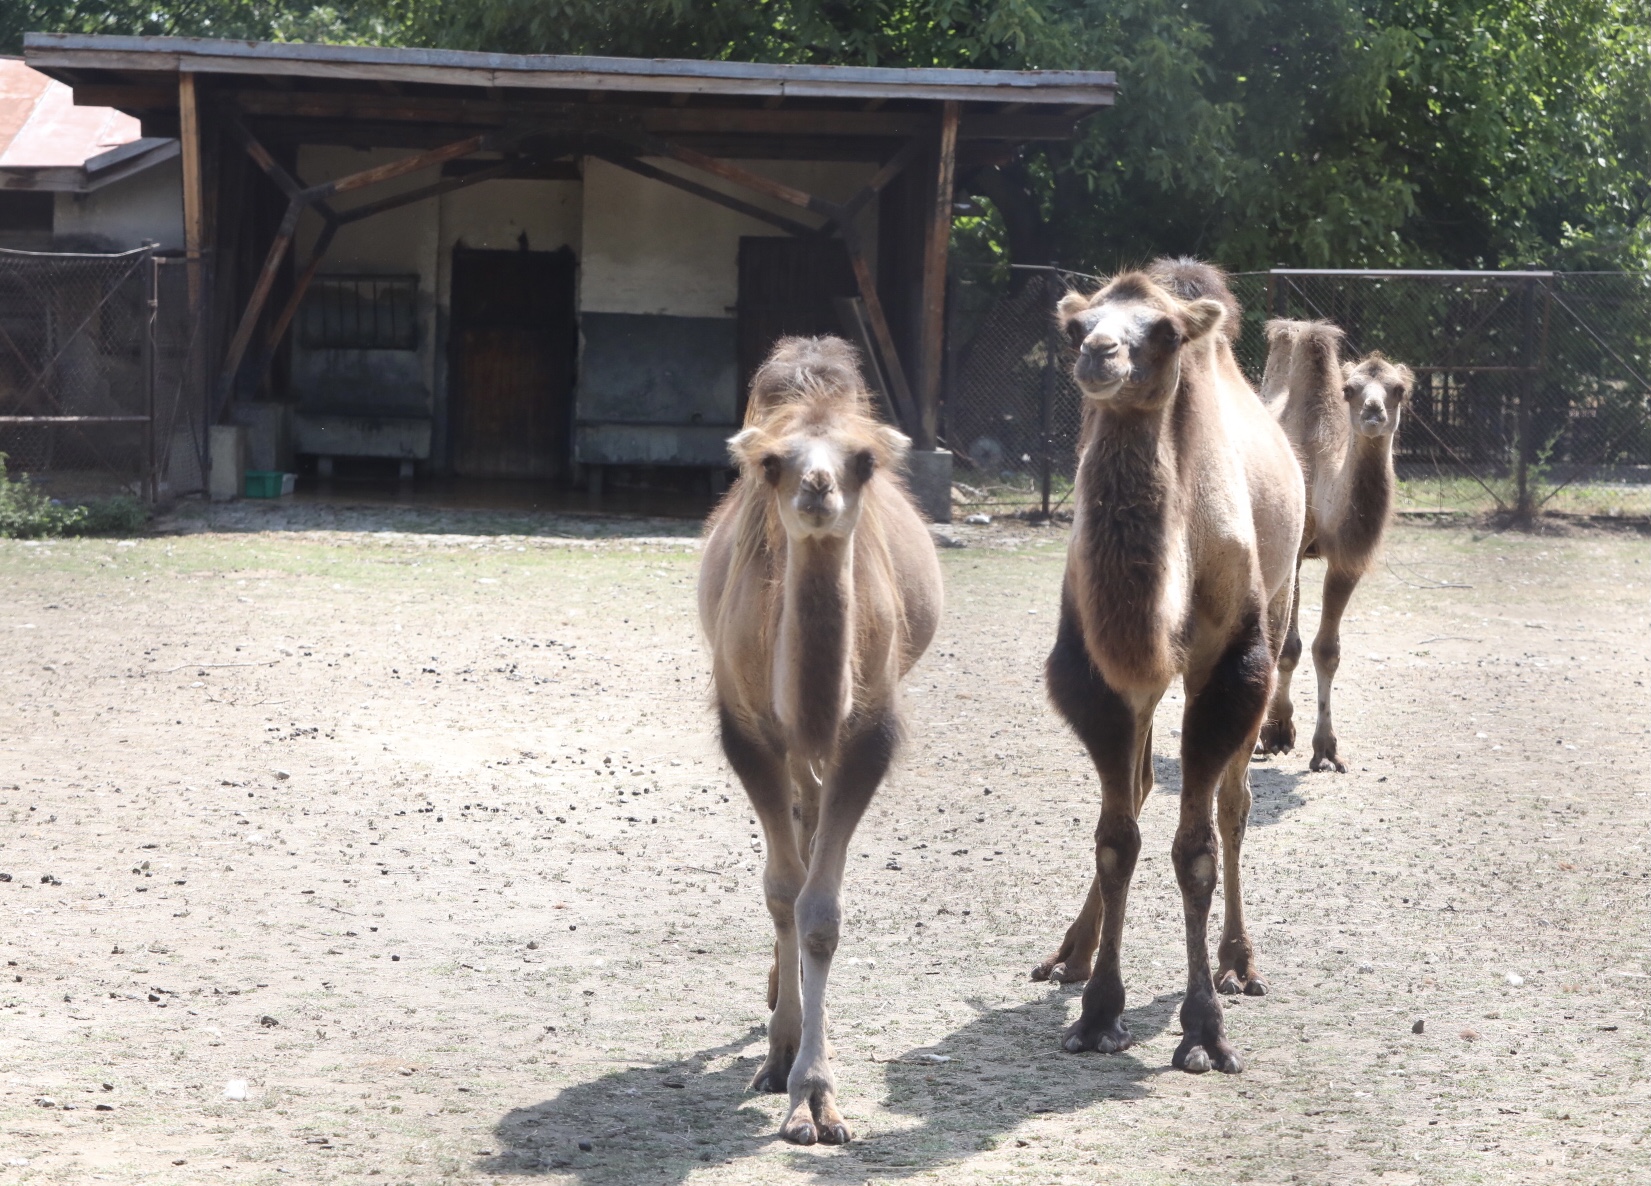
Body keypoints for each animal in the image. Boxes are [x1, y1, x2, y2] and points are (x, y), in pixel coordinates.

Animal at [693, 332, 944, 1143]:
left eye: (862, 458)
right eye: (774, 462)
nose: (817, 487)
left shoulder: (866, 736)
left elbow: (820, 912)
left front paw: (815, 1096)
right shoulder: (747, 733)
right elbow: (781, 891)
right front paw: (780, 1062)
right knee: (795, 837)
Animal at [1036, 260, 1307, 1076]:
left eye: (1161, 331)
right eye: (1076, 324)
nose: (1099, 354)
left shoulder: (1228, 668)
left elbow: (1196, 849)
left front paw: (1204, 1030)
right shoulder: (1101, 677)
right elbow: (1115, 838)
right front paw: (1097, 1014)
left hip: (1277, 604)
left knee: (1235, 803)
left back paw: (1239, 963)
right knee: (1140, 789)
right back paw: (1071, 954)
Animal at [1254, 320, 1413, 776]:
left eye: (1399, 389)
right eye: (1349, 389)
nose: (1373, 413)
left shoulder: (1345, 562)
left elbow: (1327, 650)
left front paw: (1325, 749)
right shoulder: (1292, 553)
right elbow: (1286, 645)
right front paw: (1274, 733)